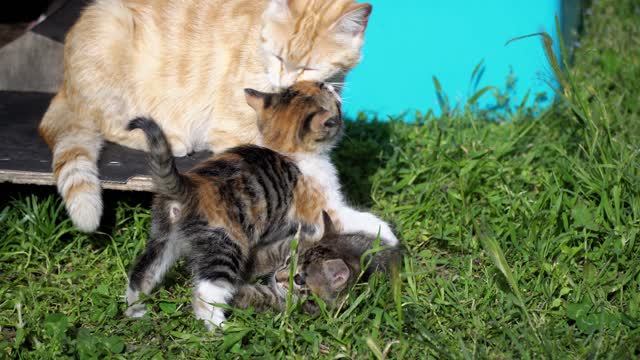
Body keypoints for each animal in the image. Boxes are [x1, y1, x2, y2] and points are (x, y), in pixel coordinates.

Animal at [37, 0, 398, 246]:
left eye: (309, 67)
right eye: (279, 57)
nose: (285, 82)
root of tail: (65, 85)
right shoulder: (234, 130)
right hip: (112, 37)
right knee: (112, 124)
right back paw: (173, 140)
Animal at [232, 212, 402, 314]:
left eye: (299, 280)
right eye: (288, 260)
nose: (276, 277)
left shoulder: (298, 304)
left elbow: (261, 295)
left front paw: (232, 293)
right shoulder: (290, 243)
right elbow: (267, 254)